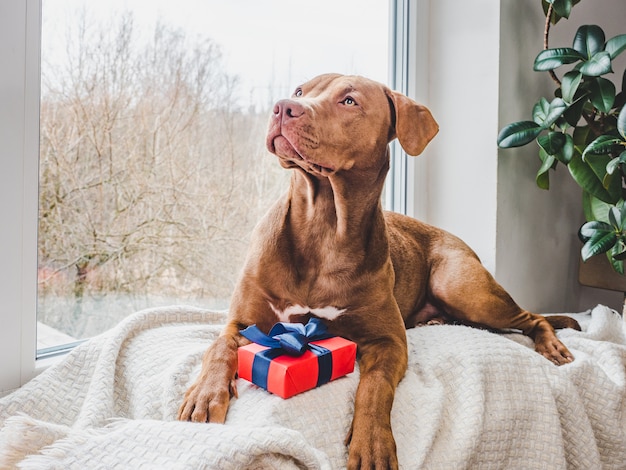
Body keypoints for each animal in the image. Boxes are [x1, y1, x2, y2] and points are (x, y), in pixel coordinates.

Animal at [177, 74, 580, 470]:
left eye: (349, 101)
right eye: (300, 91)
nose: (283, 107)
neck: (324, 226)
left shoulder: (389, 342)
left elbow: (374, 387)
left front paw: (372, 443)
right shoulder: (243, 321)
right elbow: (219, 347)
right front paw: (205, 395)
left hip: (464, 289)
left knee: (533, 317)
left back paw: (551, 346)